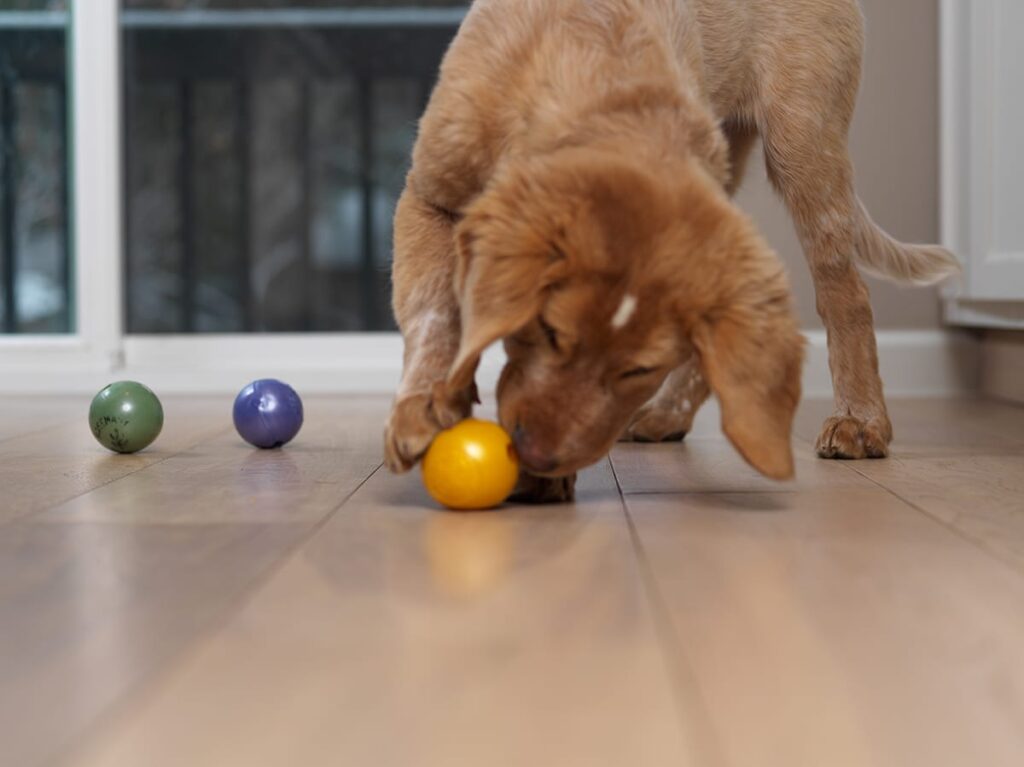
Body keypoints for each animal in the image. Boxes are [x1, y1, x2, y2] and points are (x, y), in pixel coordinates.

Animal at [380, 0, 954, 501]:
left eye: (639, 371)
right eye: (548, 332)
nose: (539, 457)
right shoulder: (428, 196)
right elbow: (434, 309)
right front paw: (423, 408)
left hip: (803, 136)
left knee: (844, 293)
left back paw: (860, 422)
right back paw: (669, 417)